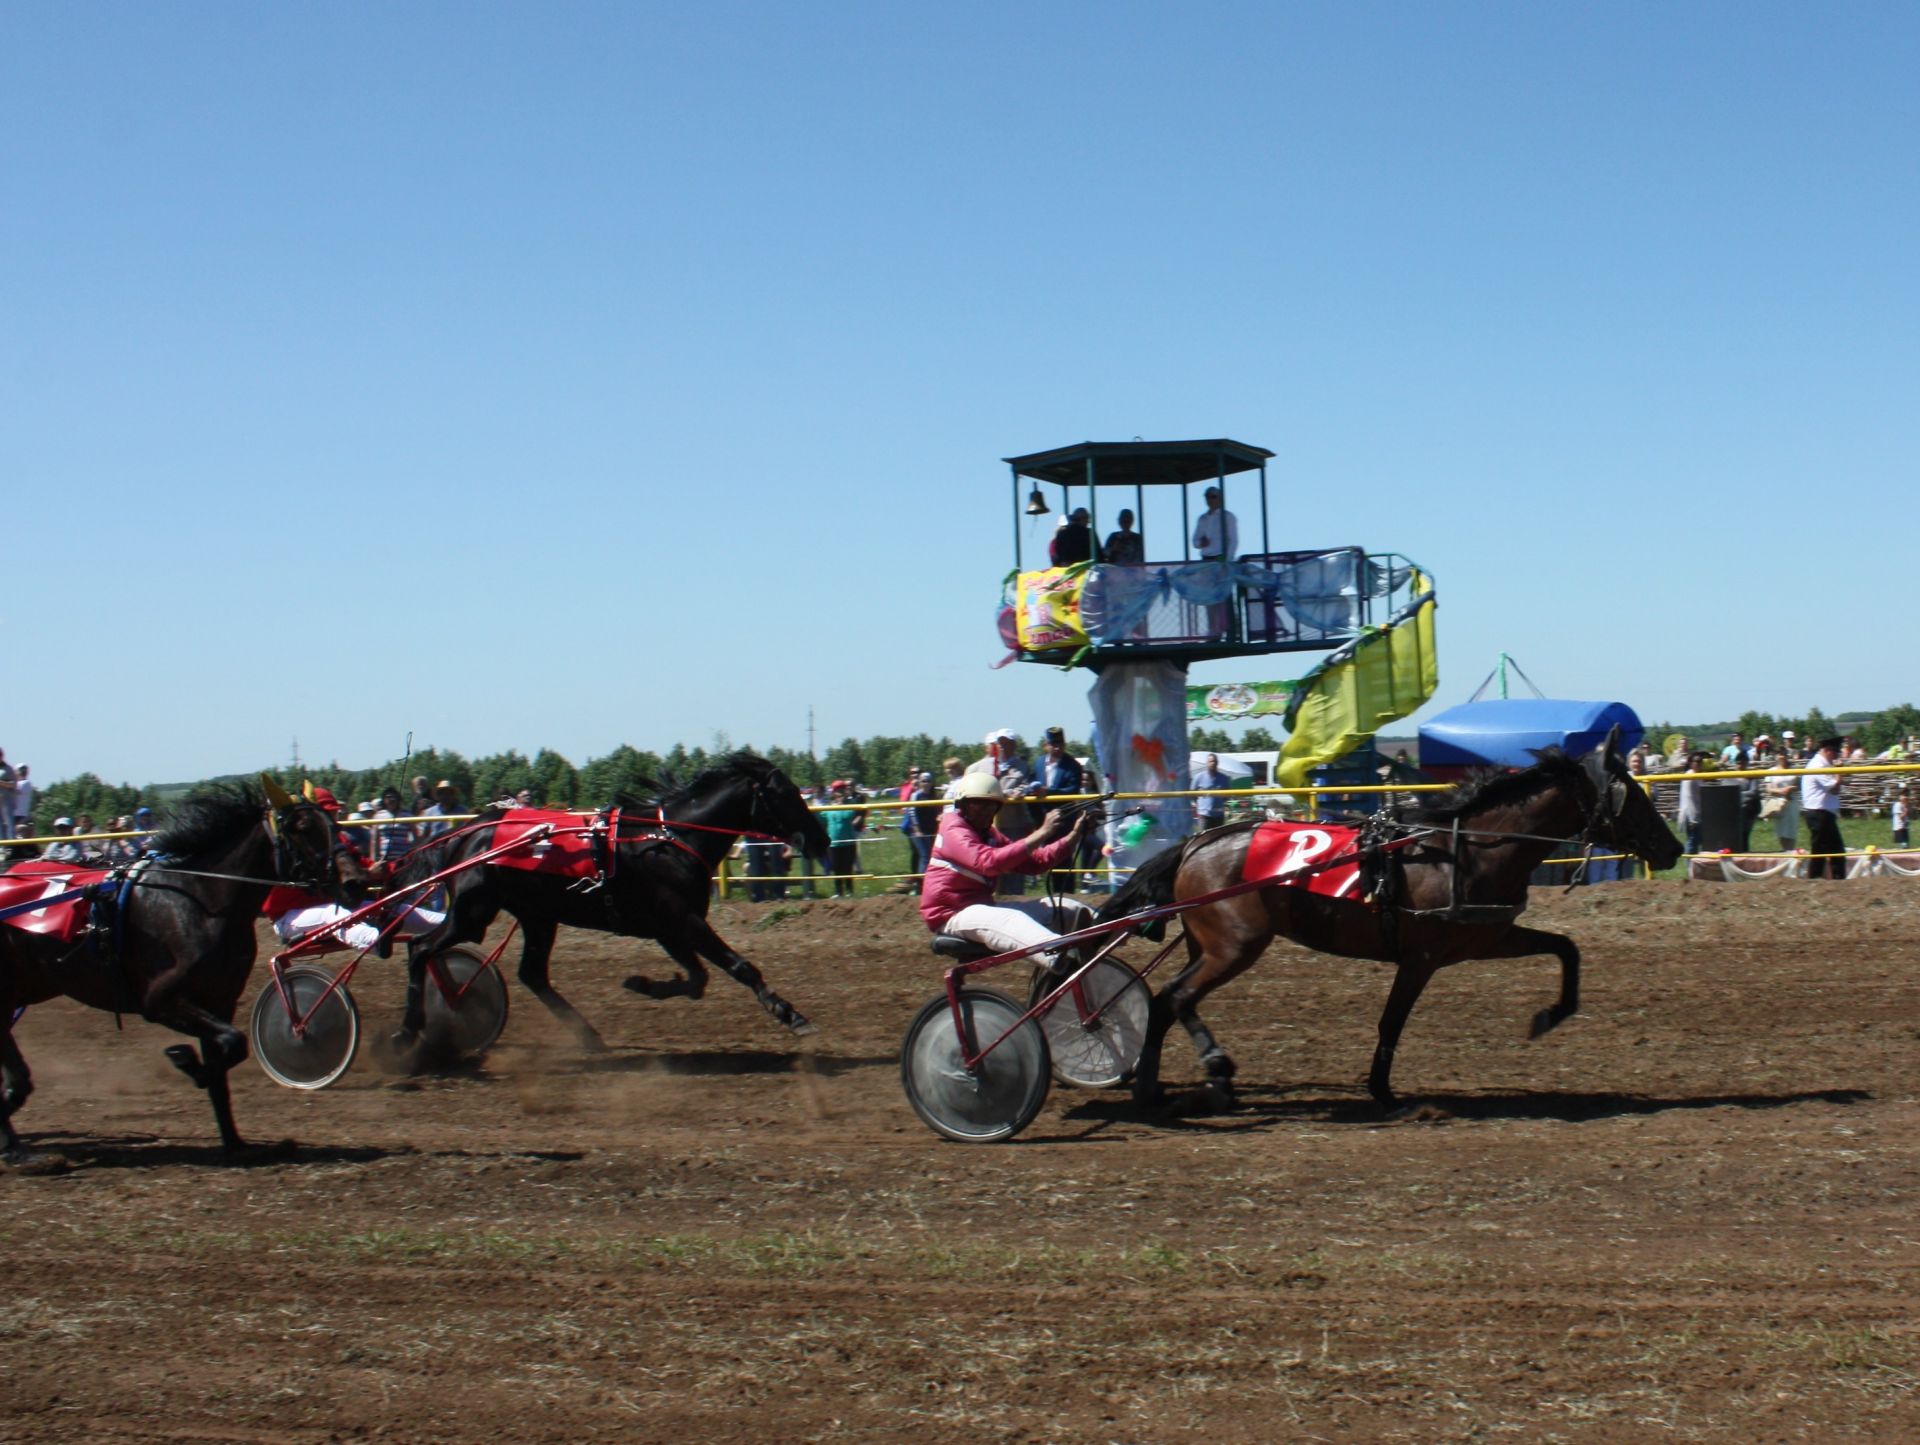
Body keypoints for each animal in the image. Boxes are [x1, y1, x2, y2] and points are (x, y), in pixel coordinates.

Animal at [0, 782, 360, 1159]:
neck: (199, 901)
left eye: (334, 822)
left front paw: (233, 1141)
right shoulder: (160, 1001)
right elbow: (231, 1043)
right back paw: (14, 1138)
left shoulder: (219, 1000)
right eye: (303, 828)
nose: (356, 882)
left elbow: (227, 1057)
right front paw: (185, 1060)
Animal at [389, 756, 833, 1059]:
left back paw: (589, 1036)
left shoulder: (669, 928)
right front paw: (791, 1015)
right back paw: (409, 1030)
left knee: (532, 974)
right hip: (472, 912)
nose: (822, 840)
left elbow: (696, 980)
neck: (669, 840)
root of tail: (467, 833)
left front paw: (641, 984)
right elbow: (739, 967)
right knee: (421, 949)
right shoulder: (682, 921)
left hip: (537, 916)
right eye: (786, 794)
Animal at [1098, 725, 1681, 1113]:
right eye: (1629, 793)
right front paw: (1383, 1090)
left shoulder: (1488, 936)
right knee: (1176, 997)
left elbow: (1566, 947)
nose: (1672, 847)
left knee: (1164, 1001)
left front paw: (1550, 1015)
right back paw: (1212, 1073)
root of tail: (1197, 843)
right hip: (1235, 946)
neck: (1464, 851)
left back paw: (1156, 1087)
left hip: (1208, 945)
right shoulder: (1421, 957)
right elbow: (1392, 1019)